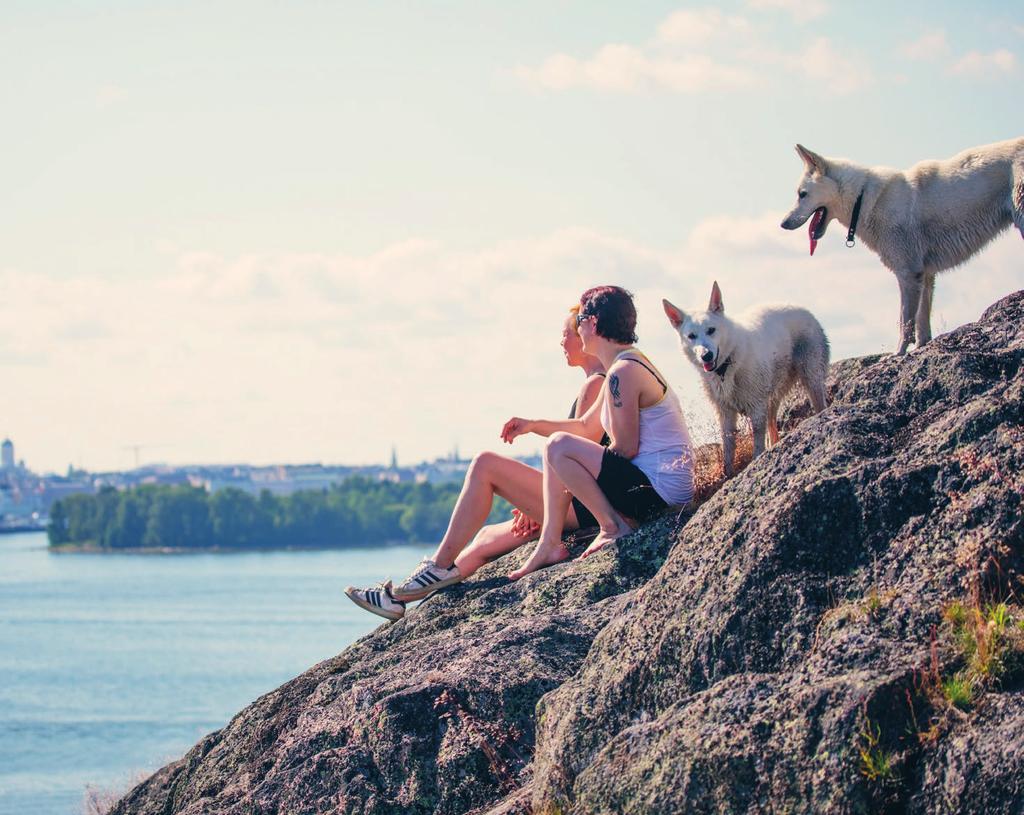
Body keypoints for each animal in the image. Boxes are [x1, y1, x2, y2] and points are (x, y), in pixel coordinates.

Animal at [663, 282, 831, 477]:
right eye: (691, 336)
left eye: (711, 330)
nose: (706, 356)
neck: (727, 365)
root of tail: (805, 310)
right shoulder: (725, 413)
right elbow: (728, 447)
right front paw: (728, 474)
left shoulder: (756, 408)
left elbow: (757, 442)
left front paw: (756, 462)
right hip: (773, 393)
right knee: (772, 423)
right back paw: (774, 445)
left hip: (811, 378)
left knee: (818, 404)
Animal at [778, 139, 1019, 354]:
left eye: (802, 194)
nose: (782, 223)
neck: (862, 199)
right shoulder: (924, 275)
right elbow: (921, 320)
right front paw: (921, 348)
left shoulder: (907, 273)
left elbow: (905, 321)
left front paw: (899, 353)